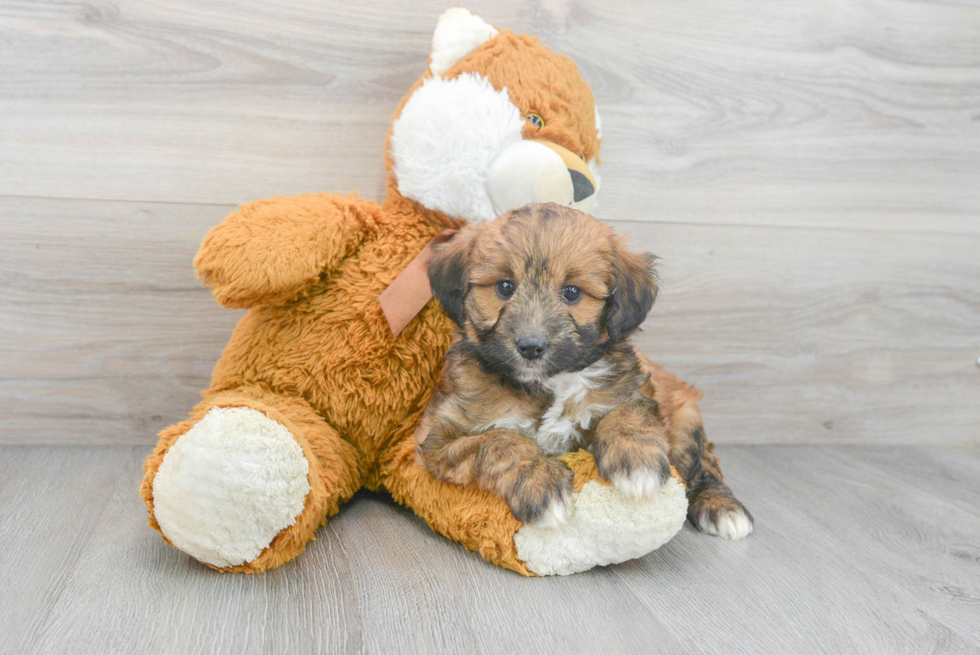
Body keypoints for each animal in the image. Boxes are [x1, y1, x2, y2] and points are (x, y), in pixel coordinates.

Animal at [418, 204, 756, 540]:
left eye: (571, 292)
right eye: (504, 287)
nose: (531, 347)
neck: (550, 382)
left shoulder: (631, 389)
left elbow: (627, 413)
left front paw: (637, 459)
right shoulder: (438, 439)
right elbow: (499, 442)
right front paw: (540, 483)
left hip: (685, 422)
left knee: (704, 466)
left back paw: (721, 507)